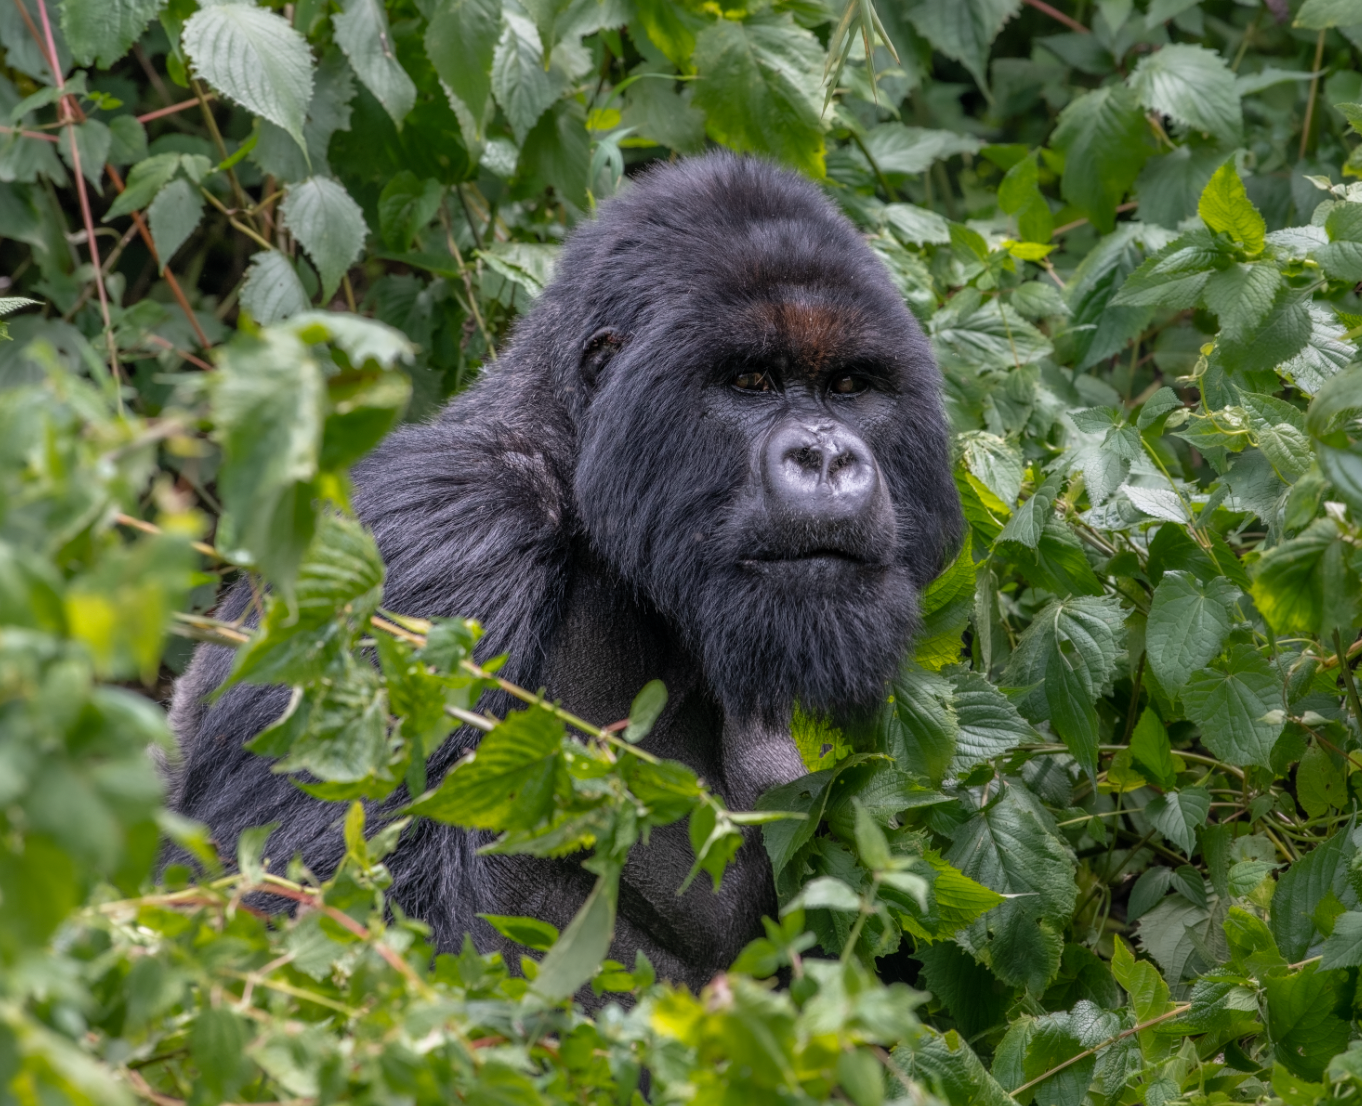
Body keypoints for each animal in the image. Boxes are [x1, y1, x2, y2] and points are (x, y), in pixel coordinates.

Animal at [164, 155, 964, 991]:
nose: (828, 457)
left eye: (849, 386)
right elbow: (317, 932)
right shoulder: (443, 539)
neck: (573, 473)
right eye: (750, 381)